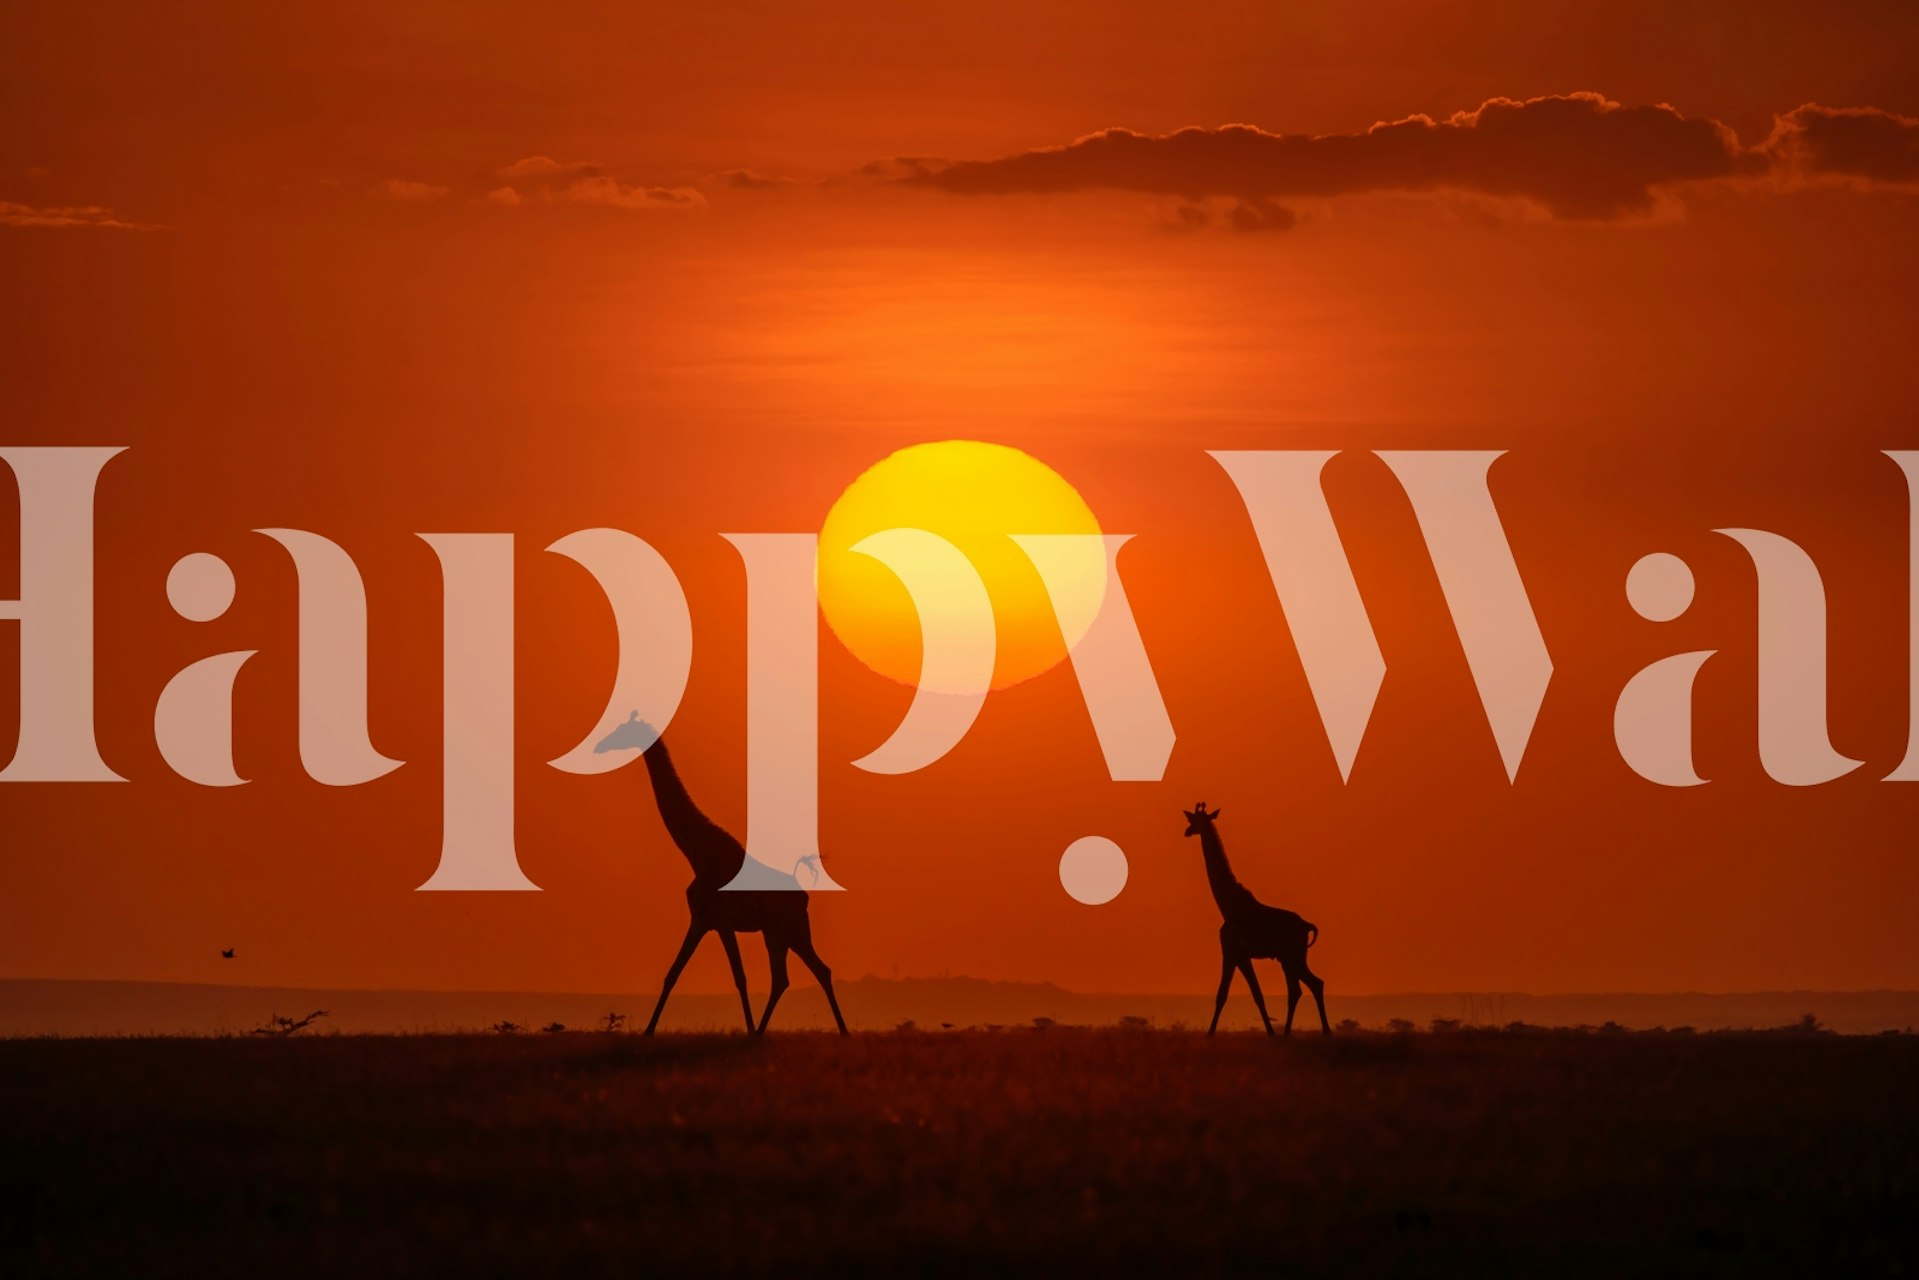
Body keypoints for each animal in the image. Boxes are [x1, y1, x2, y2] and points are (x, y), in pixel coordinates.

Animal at [594, 713, 848, 1036]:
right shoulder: (703, 921)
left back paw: (835, 1030)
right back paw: (770, 1031)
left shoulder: (719, 922)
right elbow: (672, 974)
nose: (600, 746)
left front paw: (747, 1029)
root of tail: (803, 895)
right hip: (777, 933)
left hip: (791, 930)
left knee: (811, 972)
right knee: (791, 976)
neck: (699, 857)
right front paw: (649, 1030)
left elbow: (739, 977)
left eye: (623, 730)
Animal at [1182, 802, 1331, 1036]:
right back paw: (1291, 1033)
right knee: (1303, 987)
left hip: (1294, 956)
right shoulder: (1232, 954)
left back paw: (1318, 1031)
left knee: (1310, 985)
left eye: (1195, 821)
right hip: (1287, 958)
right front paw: (1211, 1033)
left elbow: (1253, 994)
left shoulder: (1238, 953)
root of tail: (1307, 925)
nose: (1187, 832)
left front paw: (1268, 1033)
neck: (1228, 906)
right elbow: (1223, 994)